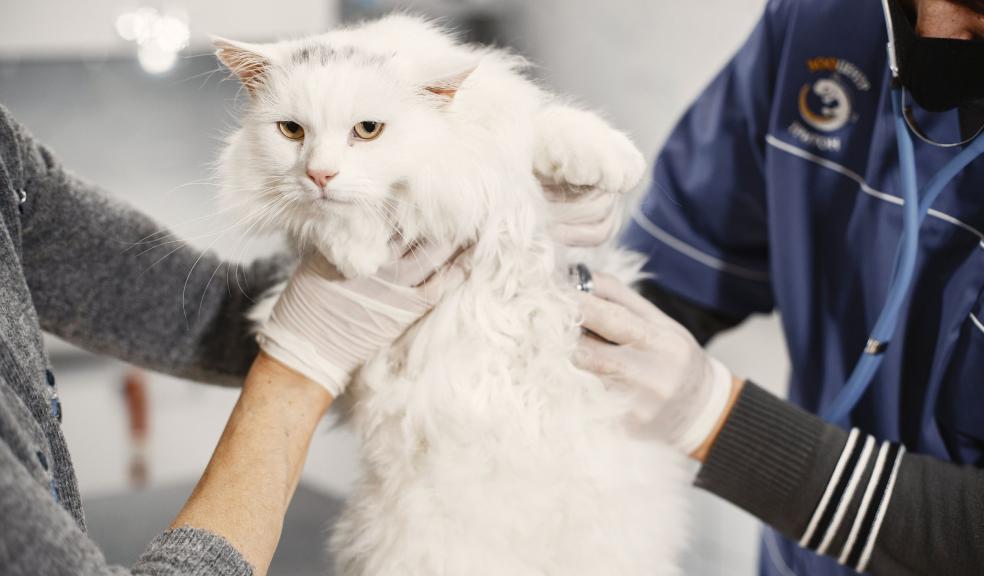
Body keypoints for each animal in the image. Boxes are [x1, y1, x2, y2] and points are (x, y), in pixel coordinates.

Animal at [217, 15, 684, 572]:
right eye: (292, 131)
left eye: (367, 130)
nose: (319, 174)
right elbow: (329, 221)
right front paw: (358, 254)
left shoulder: (501, 141)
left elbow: (548, 129)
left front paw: (612, 163)